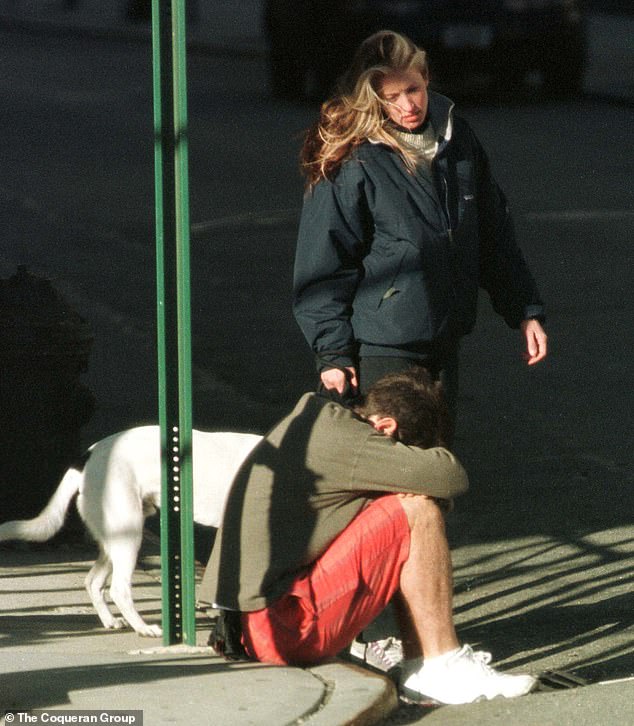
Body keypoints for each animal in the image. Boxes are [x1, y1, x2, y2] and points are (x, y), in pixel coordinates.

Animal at [0, 426, 260, 636]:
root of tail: (88, 456)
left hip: (115, 540)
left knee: (93, 581)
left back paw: (111, 621)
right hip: (129, 535)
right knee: (118, 589)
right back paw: (143, 628)